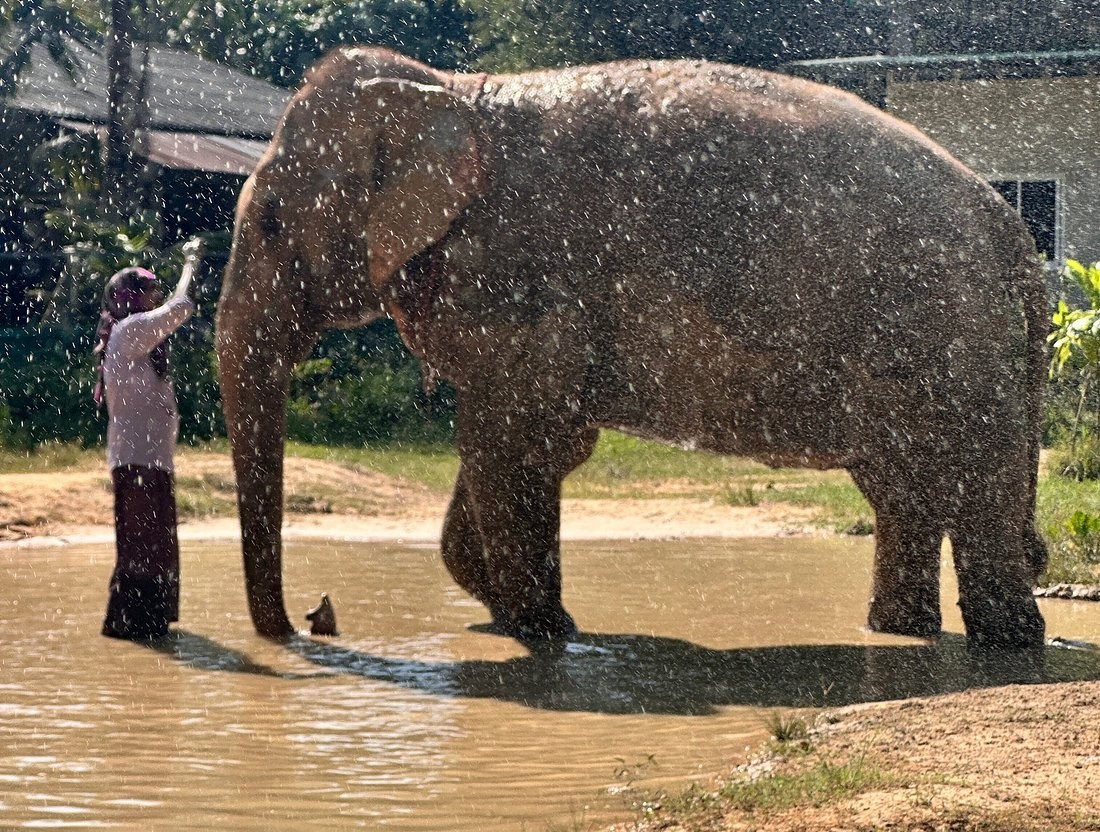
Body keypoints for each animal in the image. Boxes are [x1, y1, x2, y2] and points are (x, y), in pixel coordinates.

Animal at [216, 46, 1049, 648]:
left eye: (270, 223)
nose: (315, 621)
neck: (448, 91)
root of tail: (1016, 236)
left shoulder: (519, 269)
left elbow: (509, 440)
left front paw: (546, 634)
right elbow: (519, 442)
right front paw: (519, 617)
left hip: (957, 336)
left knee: (979, 482)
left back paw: (1008, 645)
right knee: (904, 487)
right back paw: (899, 632)